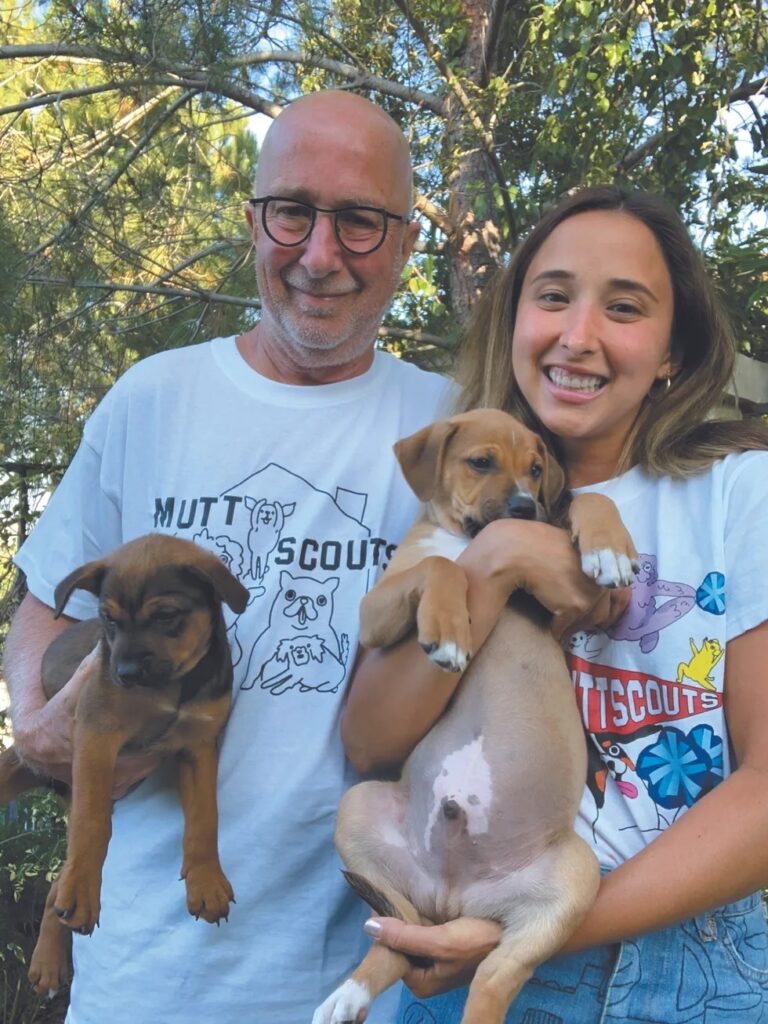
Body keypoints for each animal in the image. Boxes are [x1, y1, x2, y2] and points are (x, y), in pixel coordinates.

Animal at [0, 532, 247, 995]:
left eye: (166, 616)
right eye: (107, 620)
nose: (126, 673)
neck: (172, 688)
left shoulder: (198, 746)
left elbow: (205, 819)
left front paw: (206, 881)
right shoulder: (97, 737)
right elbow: (93, 824)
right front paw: (85, 891)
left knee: (55, 889)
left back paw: (48, 963)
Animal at [313, 407, 638, 1024]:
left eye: (535, 470)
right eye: (481, 462)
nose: (524, 509)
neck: (468, 535)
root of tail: (453, 895)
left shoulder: (591, 610)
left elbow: (587, 501)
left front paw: (609, 548)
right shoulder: (376, 612)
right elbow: (443, 565)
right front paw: (447, 629)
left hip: (572, 880)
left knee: (493, 975)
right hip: (358, 808)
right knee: (396, 932)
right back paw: (350, 992)